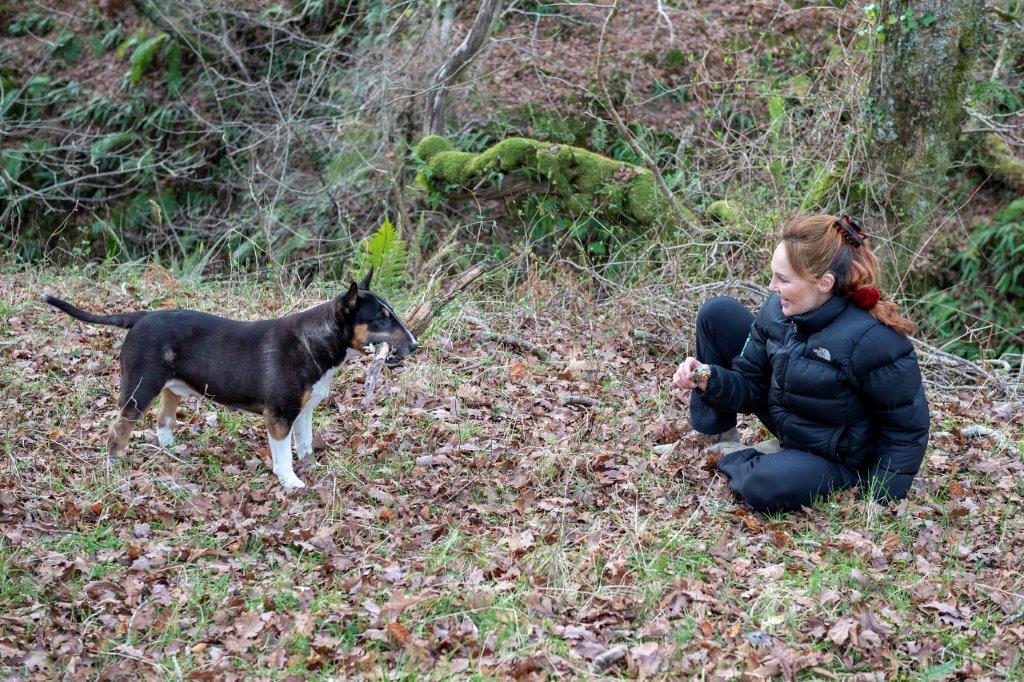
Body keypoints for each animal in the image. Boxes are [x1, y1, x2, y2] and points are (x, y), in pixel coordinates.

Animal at [39, 268, 415, 485]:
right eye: (380, 319)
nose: (415, 344)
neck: (316, 341)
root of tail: (141, 316)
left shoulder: (304, 411)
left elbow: (306, 443)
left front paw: (312, 469)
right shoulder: (279, 416)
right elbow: (283, 454)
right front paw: (291, 482)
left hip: (172, 389)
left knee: (162, 420)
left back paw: (173, 453)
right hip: (139, 389)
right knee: (118, 429)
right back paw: (114, 465)